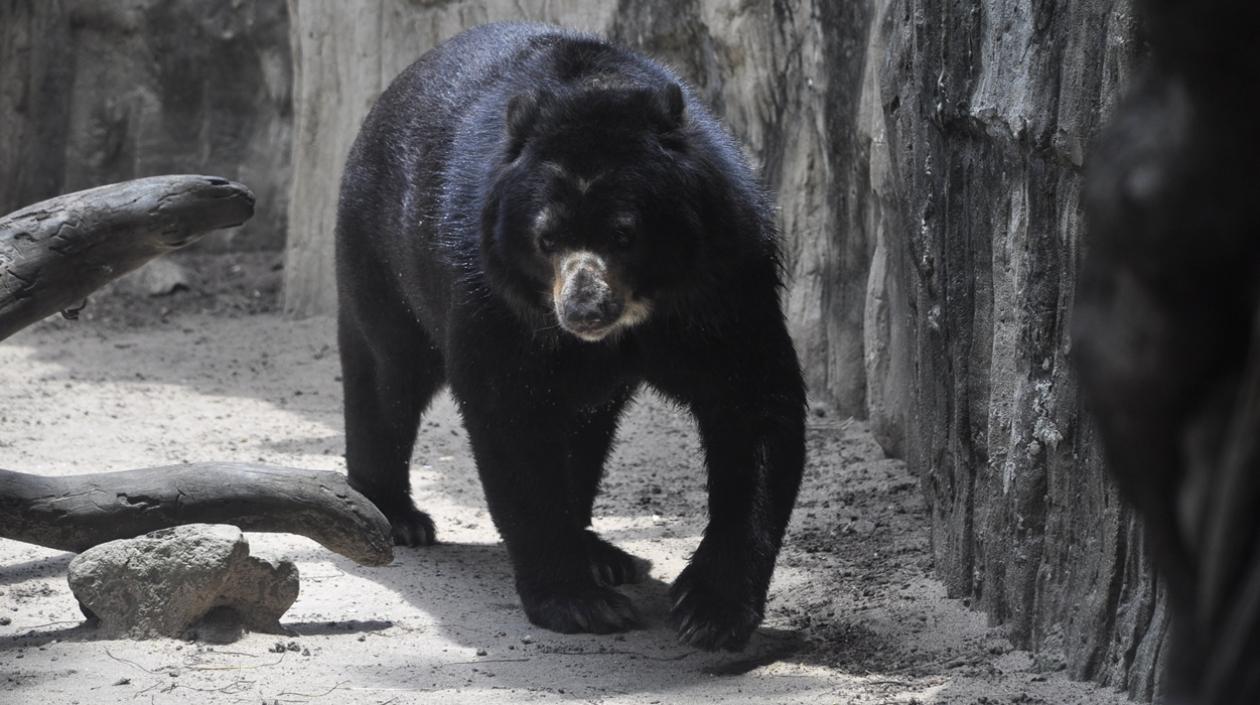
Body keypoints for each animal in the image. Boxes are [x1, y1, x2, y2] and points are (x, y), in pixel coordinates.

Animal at [335, 22, 805, 651]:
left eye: (626, 234)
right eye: (547, 238)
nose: (582, 309)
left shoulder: (726, 278)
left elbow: (751, 402)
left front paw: (709, 610)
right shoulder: (495, 293)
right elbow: (510, 416)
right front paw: (579, 602)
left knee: (584, 429)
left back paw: (603, 553)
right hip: (382, 250)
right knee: (387, 371)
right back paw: (398, 515)